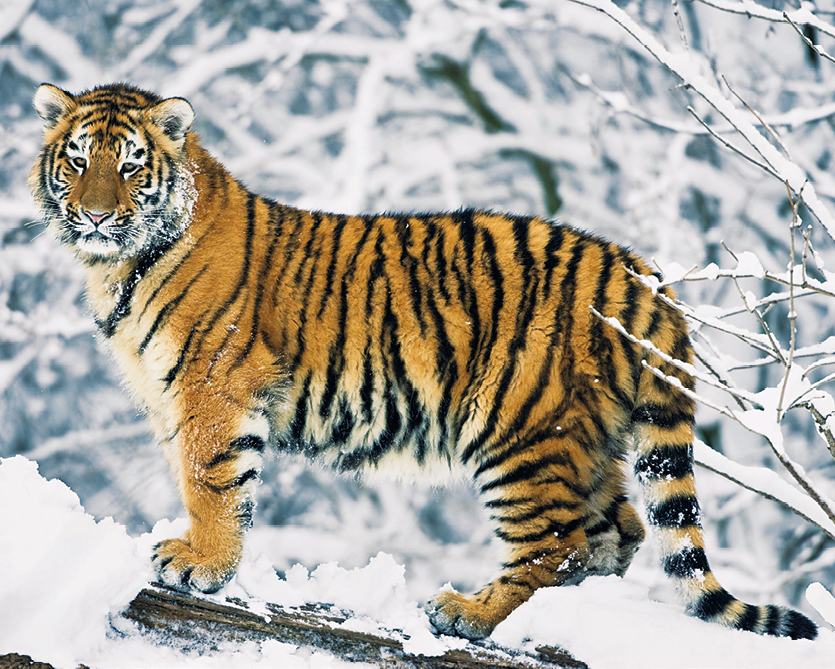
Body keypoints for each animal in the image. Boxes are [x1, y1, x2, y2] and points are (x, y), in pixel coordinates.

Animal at [29, 83, 820, 640]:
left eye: (132, 167)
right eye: (79, 161)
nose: (96, 214)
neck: (118, 263)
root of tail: (635, 272)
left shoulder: (213, 387)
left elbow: (210, 480)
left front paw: (201, 564)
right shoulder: (174, 394)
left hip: (517, 433)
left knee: (555, 543)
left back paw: (466, 613)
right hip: (583, 439)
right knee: (617, 528)